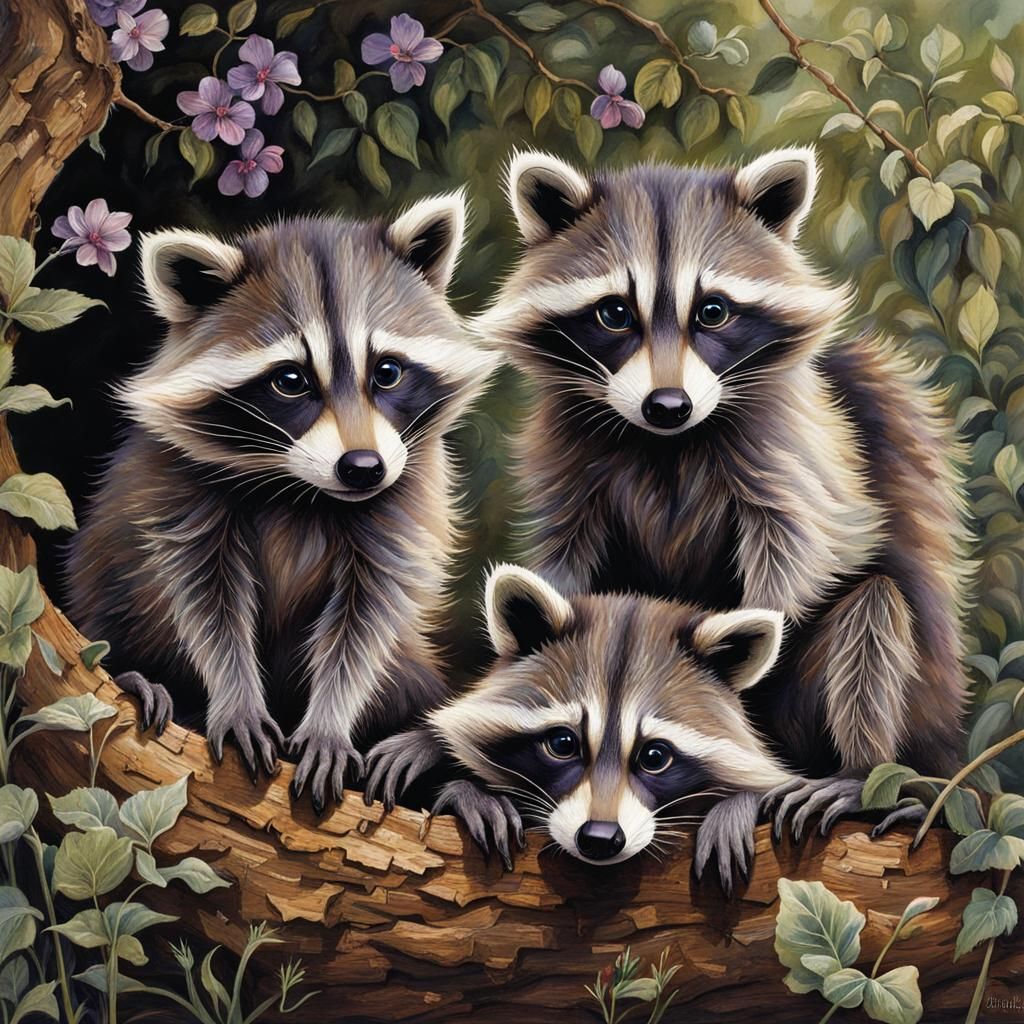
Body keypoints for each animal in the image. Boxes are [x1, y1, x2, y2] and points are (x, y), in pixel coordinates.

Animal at [66, 195, 498, 811]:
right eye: (291, 381)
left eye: (387, 372)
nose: (363, 468)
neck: (303, 490)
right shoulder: (181, 490)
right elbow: (207, 600)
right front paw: (236, 698)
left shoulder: (407, 491)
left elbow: (367, 617)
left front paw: (330, 721)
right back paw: (140, 680)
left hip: (409, 666)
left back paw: (441, 762)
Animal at [472, 148, 972, 835]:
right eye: (614, 313)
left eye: (713, 311)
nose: (668, 404)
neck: (665, 443)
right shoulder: (568, 454)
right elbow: (567, 566)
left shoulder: (792, 446)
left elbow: (802, 554)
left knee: (875, 613)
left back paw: (859, 771)